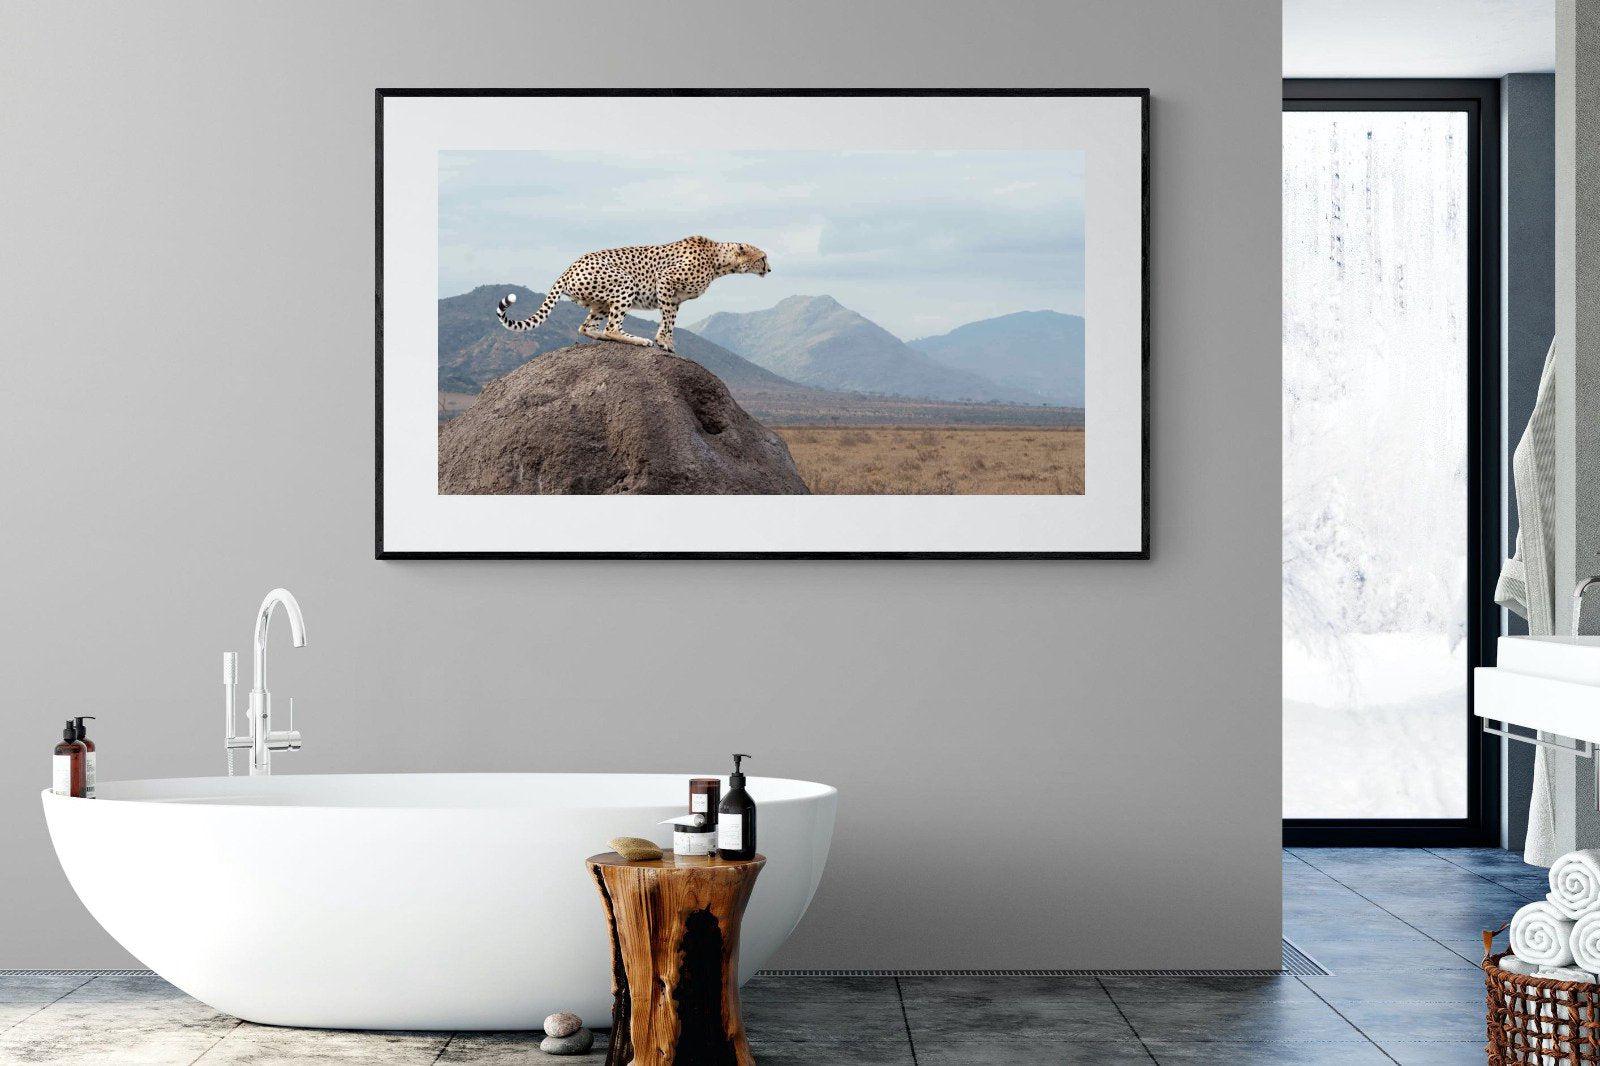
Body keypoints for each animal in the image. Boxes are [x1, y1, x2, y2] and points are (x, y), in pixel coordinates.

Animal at [496, 235, 770, 353]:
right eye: (763, 257)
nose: (770, 269)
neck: (718, 260)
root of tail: (570, 266)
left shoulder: (675, 298)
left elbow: (670, 320)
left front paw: (667, 341)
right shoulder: (665, 281)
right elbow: (667, 320)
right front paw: (663, 342)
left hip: (600, 302)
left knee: (587, 327)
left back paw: (603, 338)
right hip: (624, 283)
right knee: (612, 327)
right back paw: (637, 340)